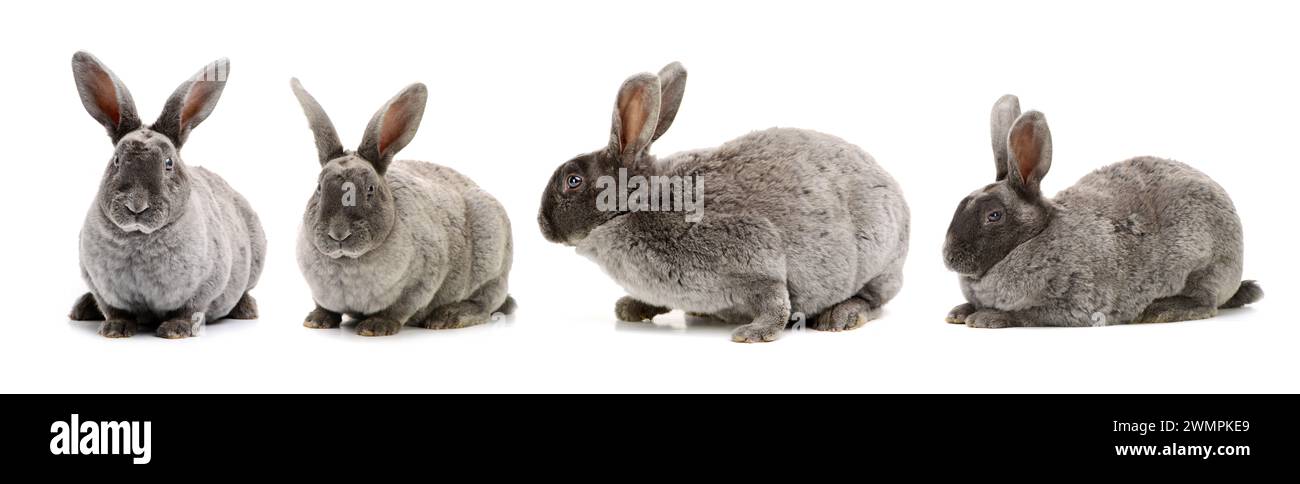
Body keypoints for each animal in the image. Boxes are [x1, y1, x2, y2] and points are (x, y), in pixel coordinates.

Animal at [67, 51, 266, 338]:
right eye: (116, 160)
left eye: (168, 163)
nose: (136, 206)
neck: (139, 237)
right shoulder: (99, 285)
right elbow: (114, 309)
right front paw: (115, 329)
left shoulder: (205, 284)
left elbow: (190, 309)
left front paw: (175, 330)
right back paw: (81, 309)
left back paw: (246, 309)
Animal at [290, 79, 514, 336]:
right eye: (319, 187)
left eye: (370, 189)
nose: (338, 234)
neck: (347, 262)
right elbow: (325, 307)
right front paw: (316, 320)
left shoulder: (421, 282)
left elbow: (398, 309)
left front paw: (375, 327)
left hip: (492, 264)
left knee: (485, 304)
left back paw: (448, 317)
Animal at [537, 62, 910, 343]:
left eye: (572, 181)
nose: (541, 224)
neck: (639, 203)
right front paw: (631, 308)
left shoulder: (757, 255)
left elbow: (776, 300)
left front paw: (754, 334)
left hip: (877, 258)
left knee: (875, 299)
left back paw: (841, 316)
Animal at [942, 94, 1262, 328]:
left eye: (993, 216)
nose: (948, 258)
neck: (1034, 236)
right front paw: (959, 312)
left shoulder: (1070, 303)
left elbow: (1026, 315)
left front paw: (987, 317)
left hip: (1206, 266)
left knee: (1206, 303)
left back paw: (1161, 310)